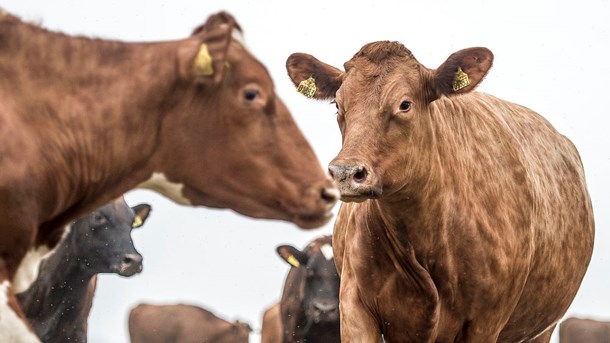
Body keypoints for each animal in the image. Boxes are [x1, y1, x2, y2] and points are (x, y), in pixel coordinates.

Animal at [286, 41, 592, 342]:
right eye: (338, 104)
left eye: (405, 104)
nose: (345, 173)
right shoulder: (354, 306)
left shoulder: (485, 321)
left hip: (542, 329)